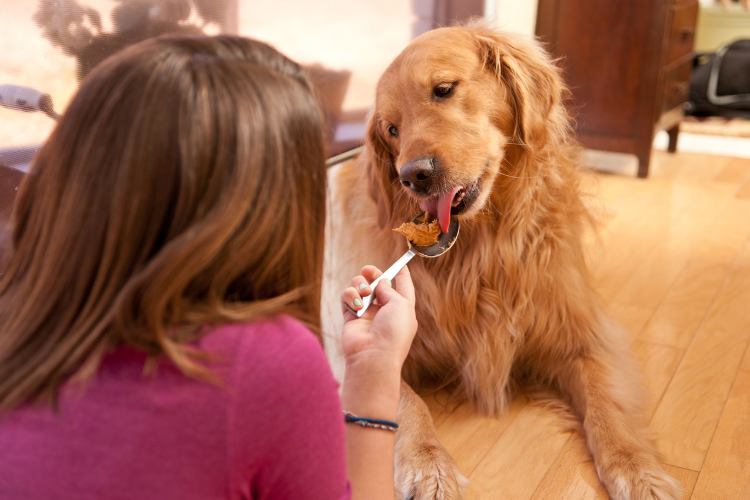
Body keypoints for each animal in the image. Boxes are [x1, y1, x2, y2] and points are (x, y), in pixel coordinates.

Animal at [320, 22, 684, 500]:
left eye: (443, 89)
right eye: (392, 129)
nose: (413, 175)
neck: (483, 247)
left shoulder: (583, 336)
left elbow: (608, 402)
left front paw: (637, 468)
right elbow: (406, 399)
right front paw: (428, 465)